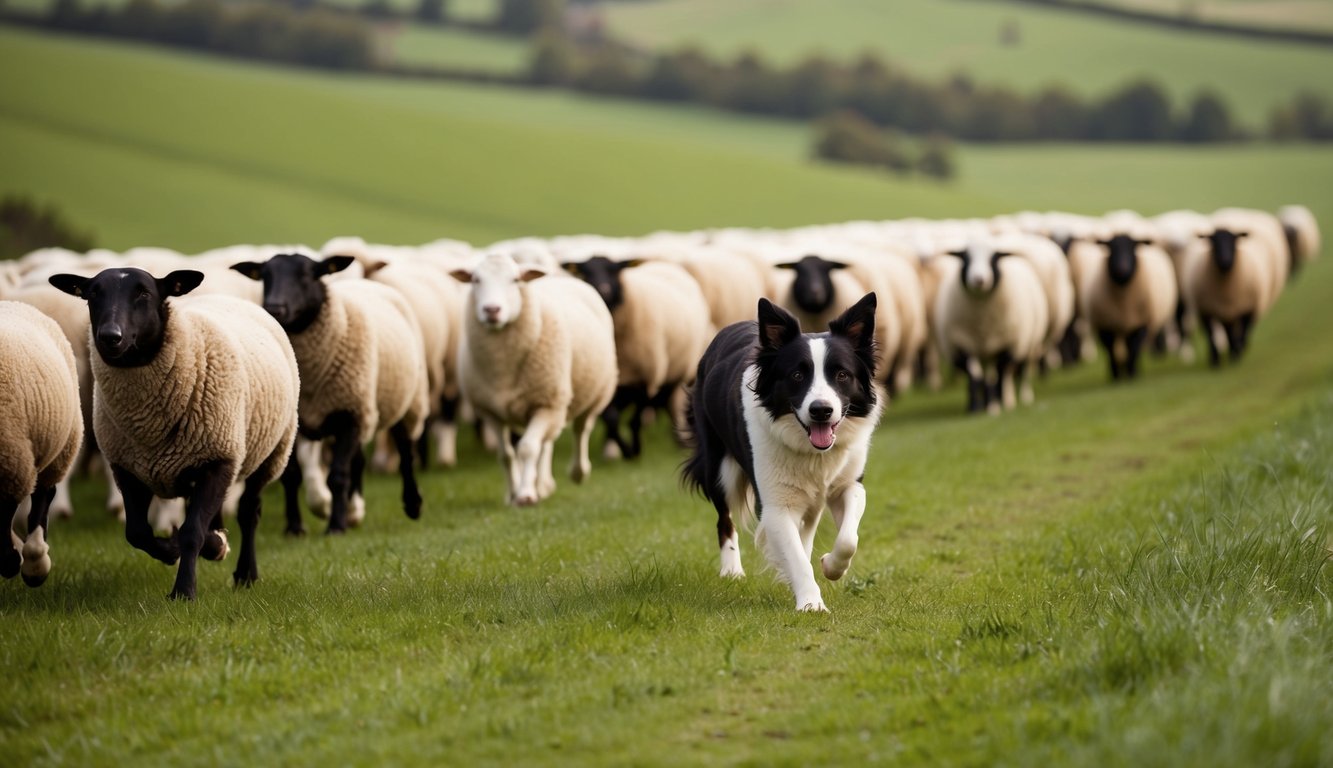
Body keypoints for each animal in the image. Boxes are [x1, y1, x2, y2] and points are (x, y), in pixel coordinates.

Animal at [48, 269, 299, 600]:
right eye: (92, 294)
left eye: (144, 293)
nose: (110, 336)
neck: (148, 420)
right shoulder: (127, 468)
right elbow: (137, 533)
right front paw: (174, 549)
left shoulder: (217, 460)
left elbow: (192, 531)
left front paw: (184, 590)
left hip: (271, 452)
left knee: (249, 512)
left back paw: (246, 573)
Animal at [231, 254, 430, 535]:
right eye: (265, 276)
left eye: (308, 275)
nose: (275, 308)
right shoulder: (296, 425)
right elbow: (292, 477)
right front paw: (295, 527)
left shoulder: (350, 415)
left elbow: (337, 476)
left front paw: (336, 525)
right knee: (359, 461)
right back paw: (354, 510)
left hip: (407, 402)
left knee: (405, 453)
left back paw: (412, 504)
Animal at [450, 252, 617, 506]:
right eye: (475, 280)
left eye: (515, 280)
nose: (492, 310)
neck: (502, 368)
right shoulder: (491, 412)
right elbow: (506, 455)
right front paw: (513, 494)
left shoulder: (545, 403)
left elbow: (527, 448)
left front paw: (526, 495)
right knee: (546, 444)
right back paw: (543, 484)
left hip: (592, 394)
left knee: (580, 431)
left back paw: (578, 472)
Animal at [561, 256, 710, 459]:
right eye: (585, 272)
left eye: (614, 270)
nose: (603, 289)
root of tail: (662, 263)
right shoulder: (608, 384)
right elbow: (611, 419)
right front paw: (619, 449)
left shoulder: (646, 378)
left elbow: (635, 420)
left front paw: (635, 449)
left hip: (677, 370)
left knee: (669, 401)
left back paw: (680, 439)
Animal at [1084, 234, 1178, 380]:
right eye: (1111, 247)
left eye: (1133, 247)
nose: (1122, 268)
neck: (1123, 304)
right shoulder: (1105, 327)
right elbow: (1111, 352)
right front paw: (1116, 376)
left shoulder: (1140, 324)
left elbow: (1133, 349)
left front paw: (1131, 373)